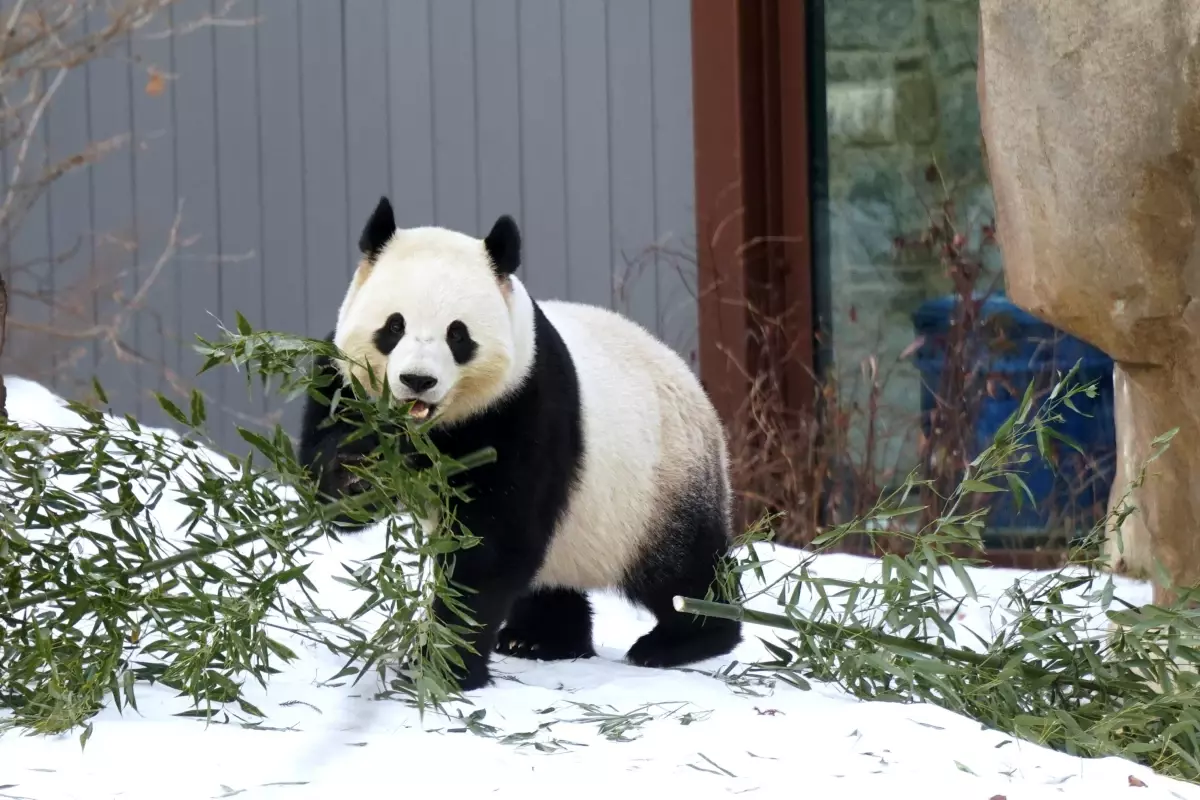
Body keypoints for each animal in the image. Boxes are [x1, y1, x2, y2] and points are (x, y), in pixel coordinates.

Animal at [298, 196, 743, 692]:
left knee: (681, 570)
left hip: (659, 485)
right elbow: (332, 487)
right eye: (393, 326)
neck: (431, 430)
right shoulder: (341, 380)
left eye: (458, 334)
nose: (418, 380)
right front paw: (357, 473)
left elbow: (492, 543)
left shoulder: (523, 406)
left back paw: (683, 639)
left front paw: (445, 666)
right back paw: (538, 639)